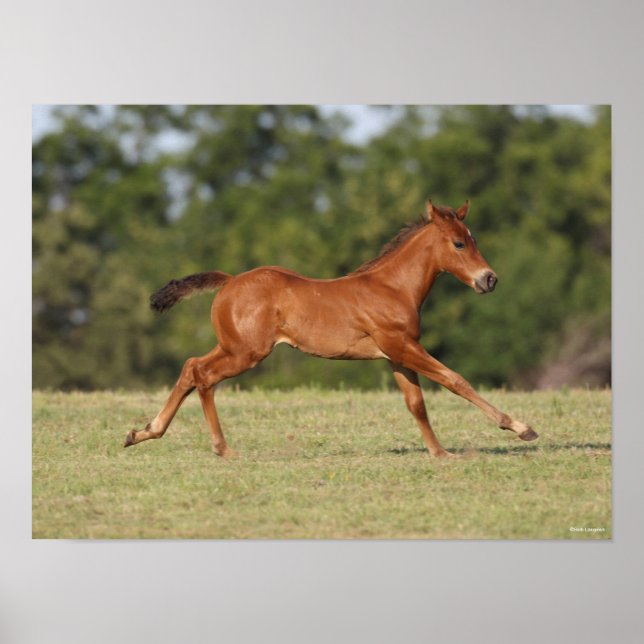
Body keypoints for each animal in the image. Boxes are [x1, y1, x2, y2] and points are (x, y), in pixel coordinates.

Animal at [124, 200, 538, 458]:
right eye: (458, 243)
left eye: (473, 240)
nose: (489, 279)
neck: (392, 286)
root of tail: (229, 281)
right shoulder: (402, 347)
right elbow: (455, 380)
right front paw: (520, 427)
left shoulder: (396, 354)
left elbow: (416, 404)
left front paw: (439, 452)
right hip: (246, 353)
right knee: (204, 376)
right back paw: (221, 448)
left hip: (232, 346)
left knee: (191, 367)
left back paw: (143, 432)